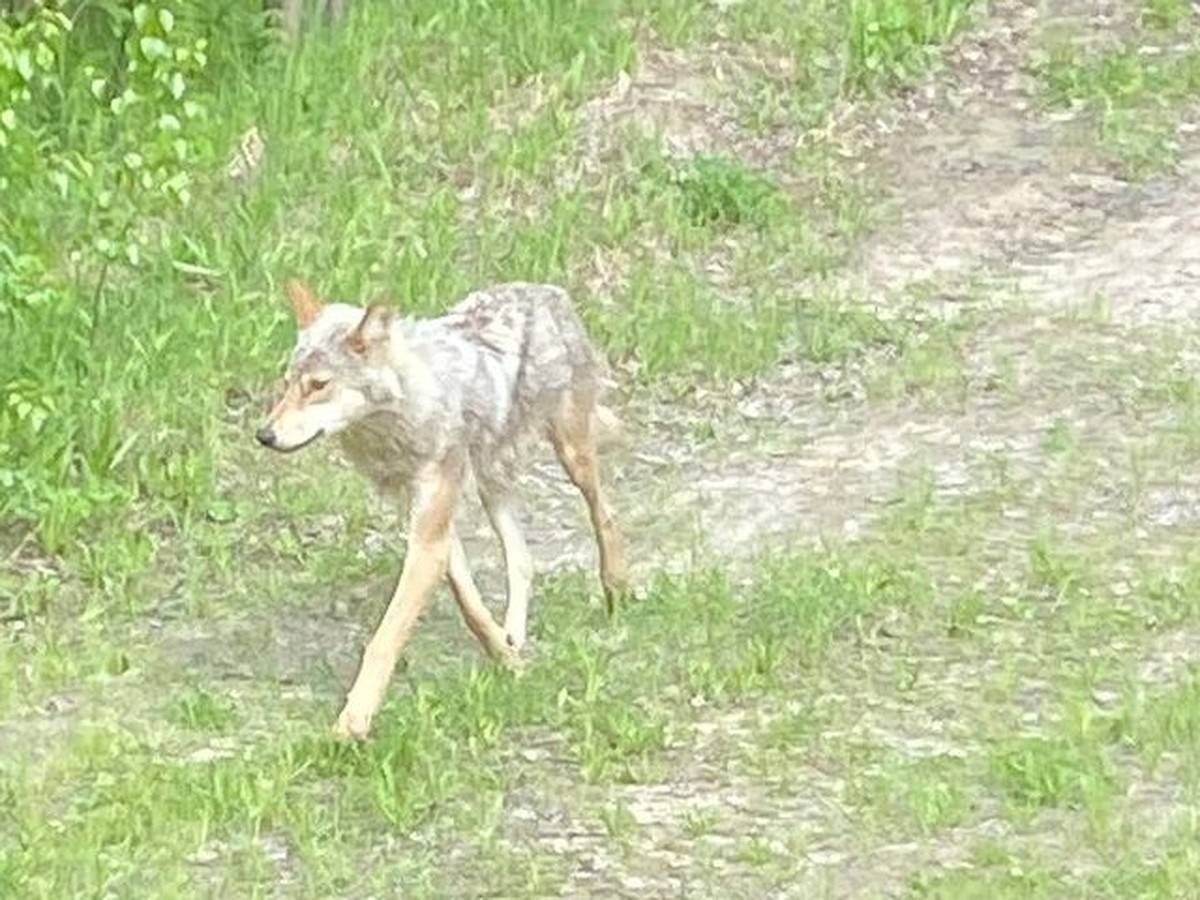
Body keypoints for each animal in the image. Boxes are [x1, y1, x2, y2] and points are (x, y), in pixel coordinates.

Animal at [258, 280, 633, 739]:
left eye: (317, 385)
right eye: (288, 383)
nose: (264, 434)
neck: (404, 417)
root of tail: (546, 290)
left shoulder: (429, 535)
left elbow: (385, 638)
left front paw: (354, 721)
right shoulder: (430, 524)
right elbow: (470, 604)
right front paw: (506, 657)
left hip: (571, 456)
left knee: (605, 511)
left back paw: (616, 587)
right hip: (492, 484)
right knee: (523, 559)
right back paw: (515, 633)